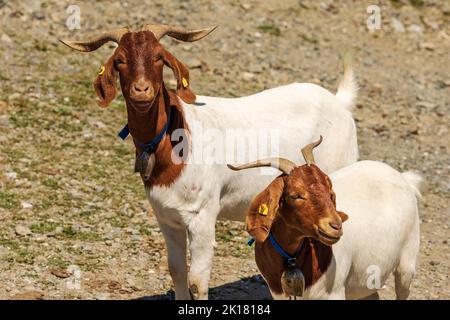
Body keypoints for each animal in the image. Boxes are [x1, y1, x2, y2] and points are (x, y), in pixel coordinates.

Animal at [229, 138, 422, 300]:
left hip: (407, 260)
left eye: (330, 193)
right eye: (296, 195)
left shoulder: (334, 293)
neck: (292, 260)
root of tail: (403, 178)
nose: (335, 226)